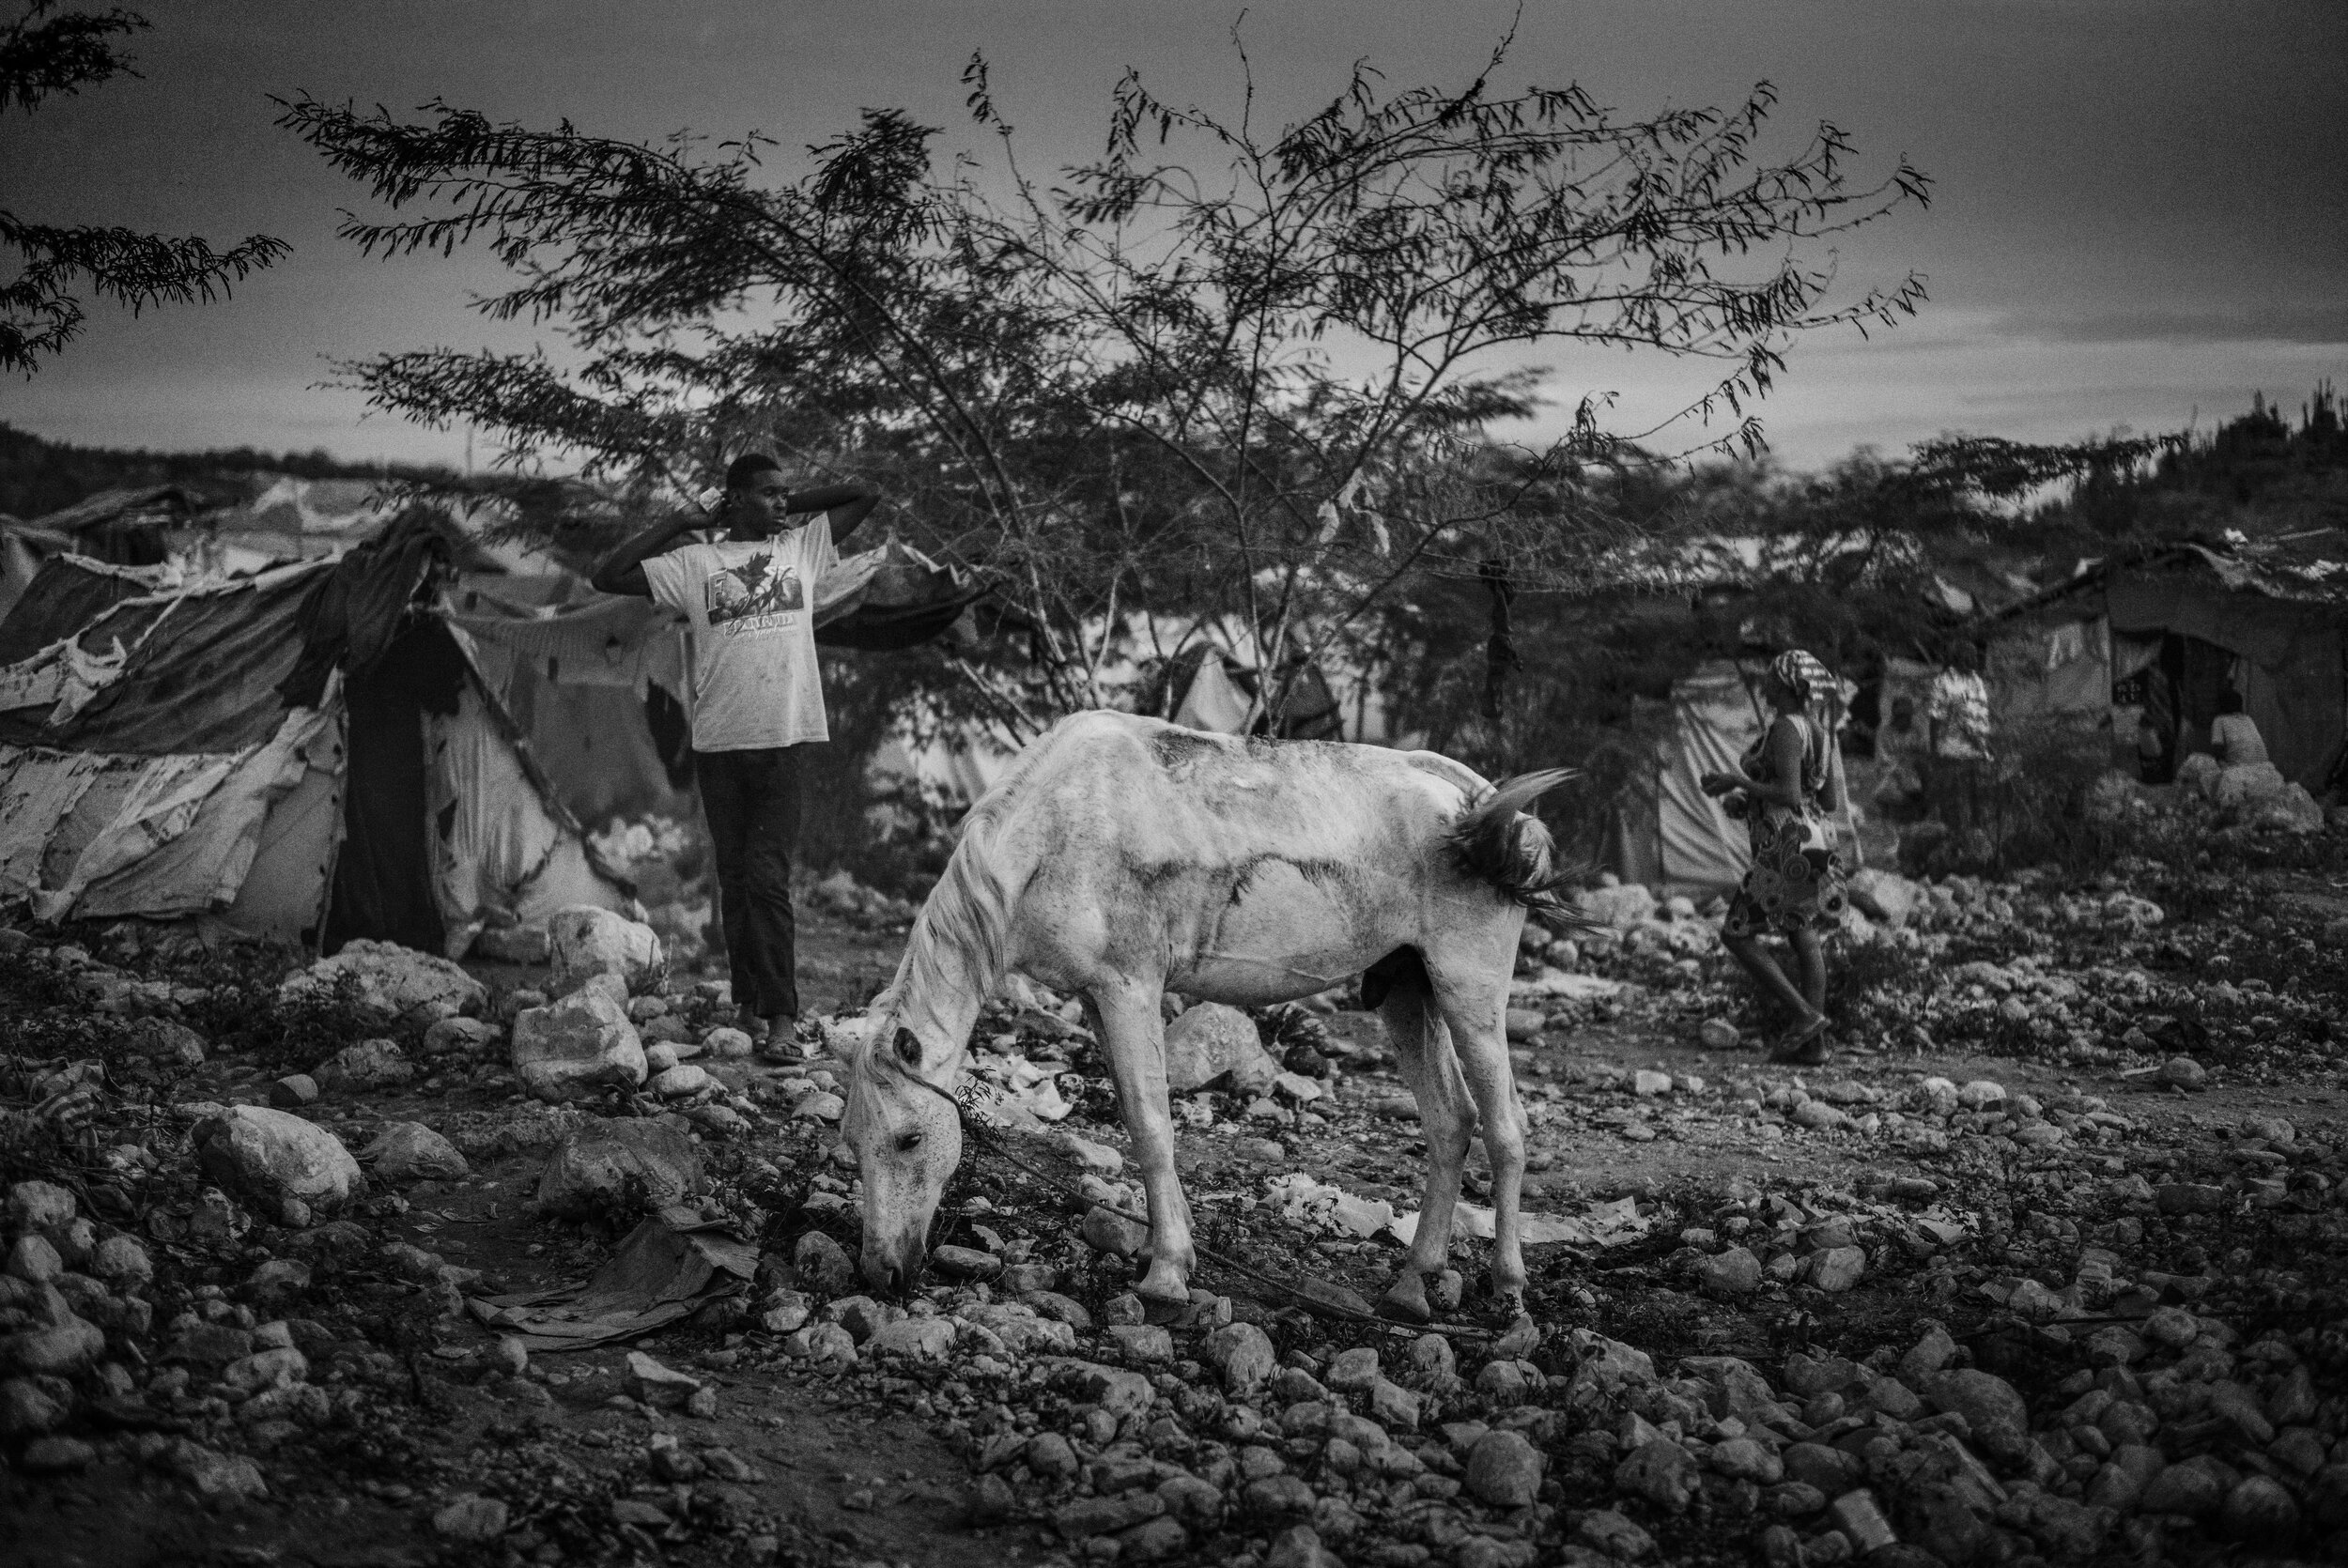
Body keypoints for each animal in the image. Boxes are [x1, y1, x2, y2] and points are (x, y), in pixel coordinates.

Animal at [845, 709, 1578, 1324]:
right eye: (853, 1141)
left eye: (909, 1139)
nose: (881, 1275)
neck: (1054, 833)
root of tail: (1481, 806)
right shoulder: (1096, 998)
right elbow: (1134, 1116)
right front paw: (1161, 1249)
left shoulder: (1130, 986)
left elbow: (1151, 1127)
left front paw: (1166, 1276)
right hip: (1406, 988)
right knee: (1450, 1122)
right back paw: (1411, 1284)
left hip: (1468, 990)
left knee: (1506, 1128)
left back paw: (1509, 1292)